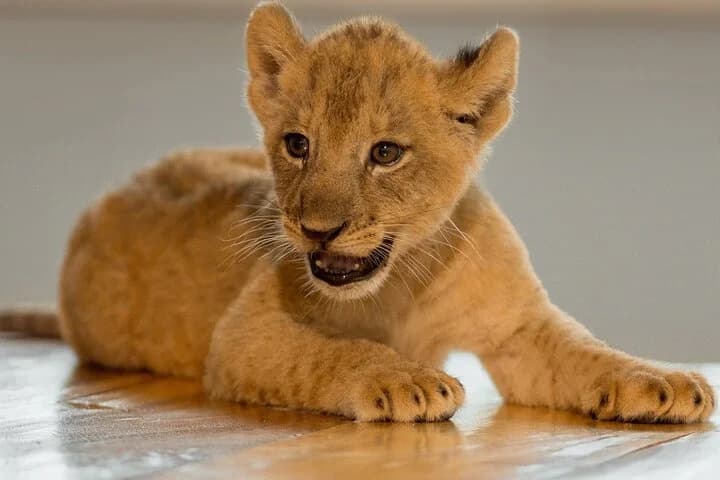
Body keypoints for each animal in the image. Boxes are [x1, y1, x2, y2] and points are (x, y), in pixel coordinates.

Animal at [0, 2, 713, 423]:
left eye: (386, 153)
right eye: (298, 145)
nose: (318, 230)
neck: (400, 284)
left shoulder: (517, 326)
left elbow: (587, 348)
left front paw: (666, 383)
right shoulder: (246, 333)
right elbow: (336, 352)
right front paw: (409, 382)